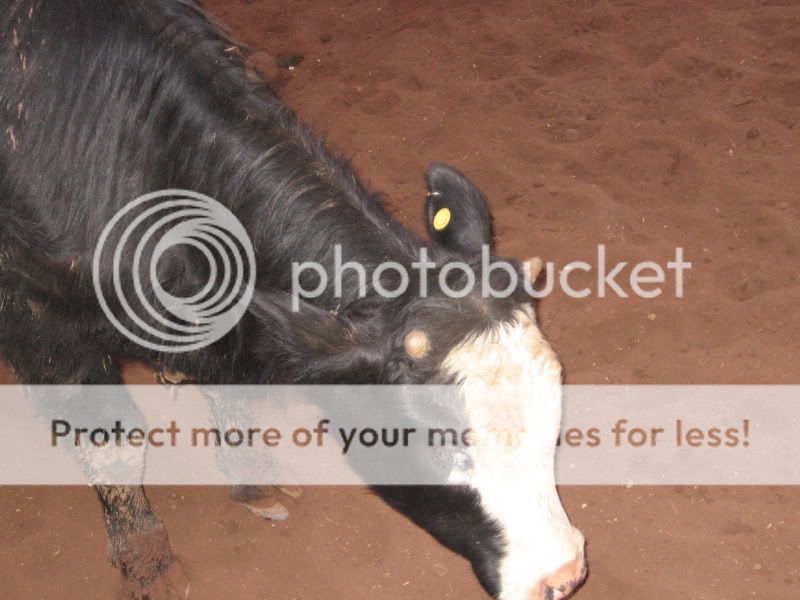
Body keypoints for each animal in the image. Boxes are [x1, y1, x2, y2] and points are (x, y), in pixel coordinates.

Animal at [0, 1, 588, 600]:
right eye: (448, 446)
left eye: (554, 419)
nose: (563, 575)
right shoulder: (41, 329)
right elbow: (111, 447)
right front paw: (148, 566)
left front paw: (254, 477)